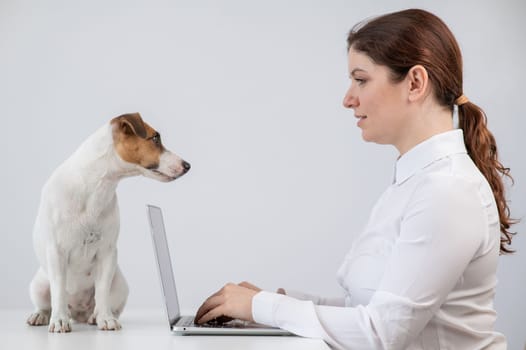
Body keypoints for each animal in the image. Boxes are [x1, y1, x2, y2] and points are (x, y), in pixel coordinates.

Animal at [26, 113, 192, 332]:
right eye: (155, 138)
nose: (188, 165)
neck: (96, 186)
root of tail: (77, 311)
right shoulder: (56, 251)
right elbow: (59, 289)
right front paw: (59, 320)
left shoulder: (107, 253)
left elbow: (102, 289)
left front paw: (105, 318)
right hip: (39, 284)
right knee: (47, 302)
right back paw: (43, 315)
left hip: (120, 284)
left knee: (104, 301)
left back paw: (96, 315)